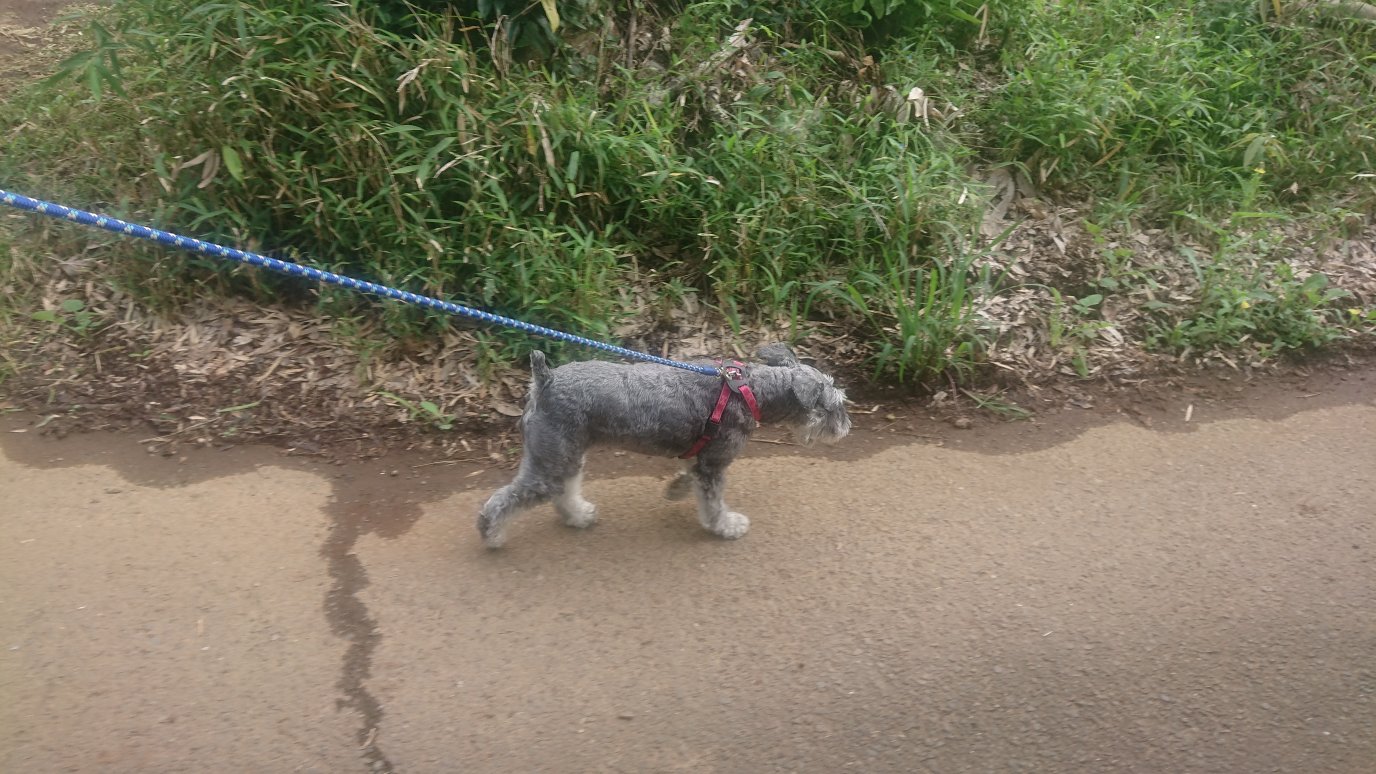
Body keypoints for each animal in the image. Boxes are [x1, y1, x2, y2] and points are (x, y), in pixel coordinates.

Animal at [477, 343, 851, 547]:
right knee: (504, 502)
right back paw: (491, 536)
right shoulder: (714, 464)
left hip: (565, 456)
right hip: (553, 460)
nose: (846, 428)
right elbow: (714, 503)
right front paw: (727, 526)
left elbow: (689, 475)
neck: (751, 391)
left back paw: (579, 515)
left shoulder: (701, 458)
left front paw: (675, 489)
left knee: (562, 490)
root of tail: (546, 380)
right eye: (834, 405)